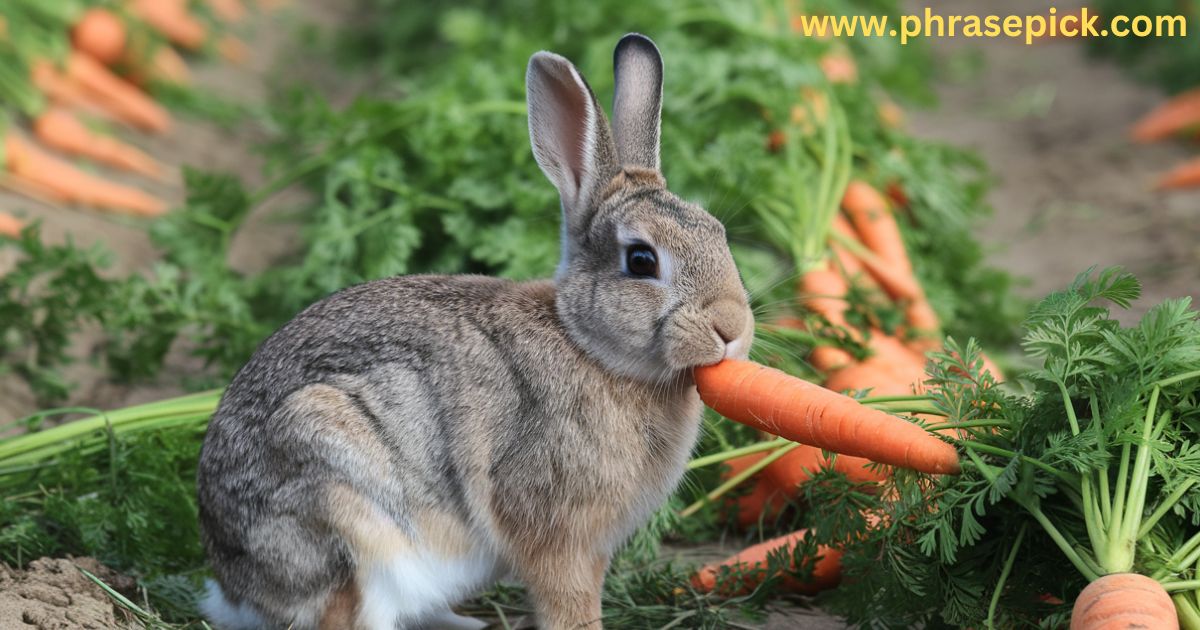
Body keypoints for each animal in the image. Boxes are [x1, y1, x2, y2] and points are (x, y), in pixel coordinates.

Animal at [195, 33, 748, 628]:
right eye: (642, 260)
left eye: (717, 231)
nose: (733, 327)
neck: (589, 347)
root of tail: (236, 589)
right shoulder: (558, 534)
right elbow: (568, 601)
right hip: (344, 512)